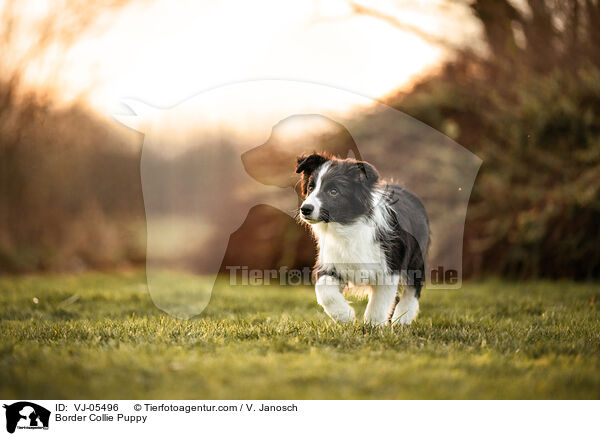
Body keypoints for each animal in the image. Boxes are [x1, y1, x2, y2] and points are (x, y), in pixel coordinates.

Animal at [294, 152, 426, 326]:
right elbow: (324, 290)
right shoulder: (332, 262)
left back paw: (402, 319)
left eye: (334, 191)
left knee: (413, 289)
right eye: (310, 187)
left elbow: (380, 301)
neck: (347, 226)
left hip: (415, 258)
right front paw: (345, 316)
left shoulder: (389, 266)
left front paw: (373, 325)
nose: (305, 209)